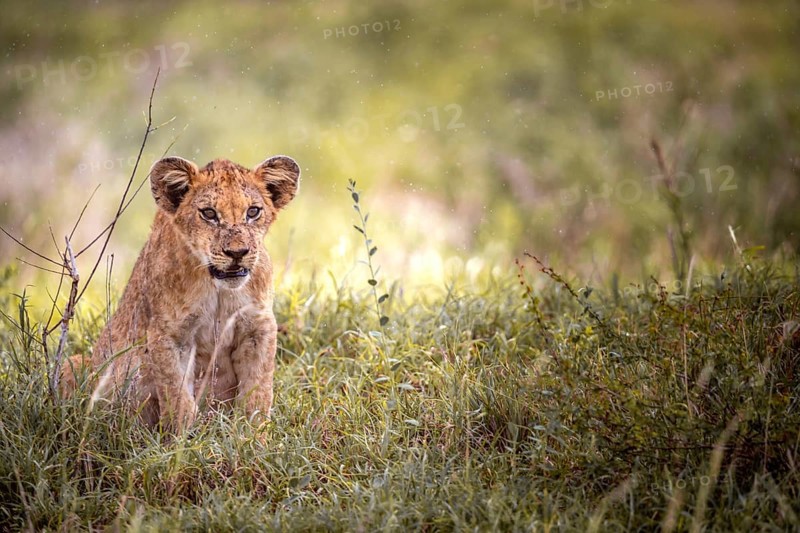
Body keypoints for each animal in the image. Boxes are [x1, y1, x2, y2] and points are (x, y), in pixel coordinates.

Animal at [60, 155, 300, 430]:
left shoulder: (258, 327)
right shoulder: (170, 334)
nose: (237, 252)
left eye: (253, 212)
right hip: (74, 363)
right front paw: (181, 440)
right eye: (209, 213)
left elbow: (257, 394)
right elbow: (177, 398)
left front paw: (252, 436)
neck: (218, 290)